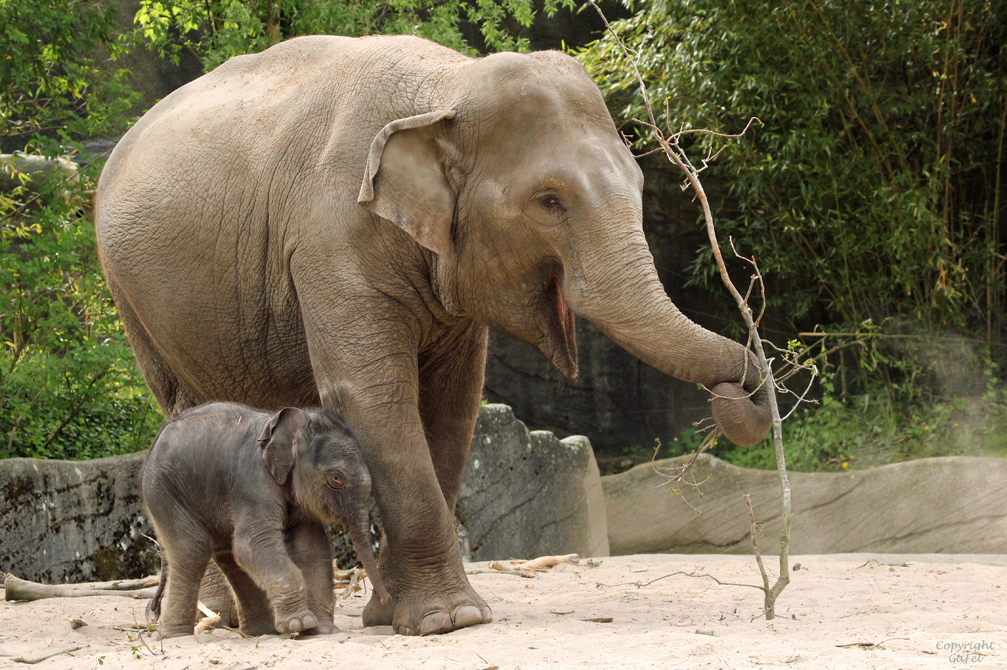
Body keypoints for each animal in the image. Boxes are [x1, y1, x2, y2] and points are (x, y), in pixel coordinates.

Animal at [141, 403, 388, 636]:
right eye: (336, 479)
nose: (387, 599)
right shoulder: (252, 481)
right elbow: (254, 542)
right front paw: (300, 623)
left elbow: (311, 548)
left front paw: (323, 630)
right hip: (163, 491)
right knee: (192, 551)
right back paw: (176, 636)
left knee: (229, 555)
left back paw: (261, 631)